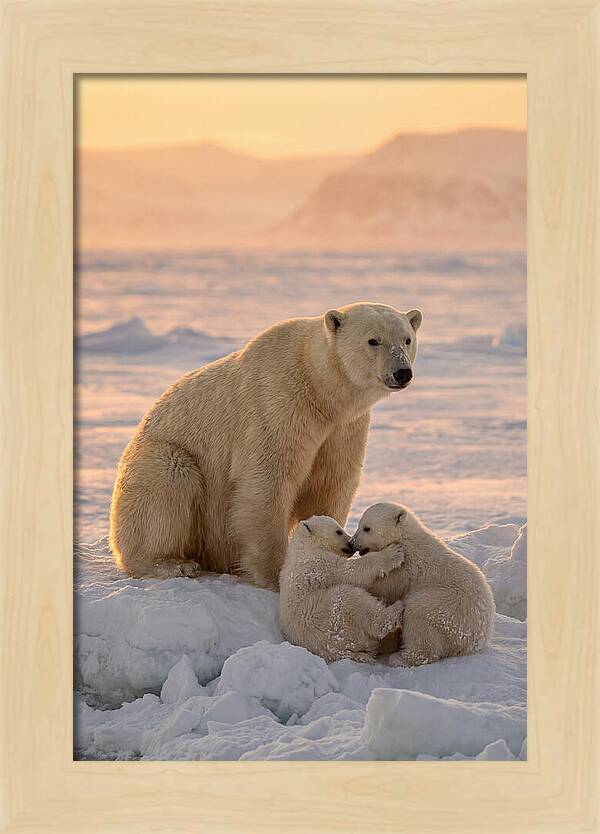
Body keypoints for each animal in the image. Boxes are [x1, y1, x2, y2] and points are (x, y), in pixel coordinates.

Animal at [109, 303, 422, 587]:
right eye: (373, 340)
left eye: (406, 339)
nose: (402, 372)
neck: (319, 388)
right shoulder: (278, 404)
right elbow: (268, 481)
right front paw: (275, 574)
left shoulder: (343, 428)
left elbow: (330, 481)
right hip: (159, 459)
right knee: (168, 480)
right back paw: (173, 564)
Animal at [279, 516, 406, 662]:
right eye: (338, 531)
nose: (351, 543)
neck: (305, 547)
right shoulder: (319, 564)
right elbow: (351, 571)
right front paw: (394, 552)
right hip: (332, 620)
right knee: (352, 600)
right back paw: (397, 608)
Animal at [350, 502, 496, 666]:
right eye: (359, 524)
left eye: (367, 528)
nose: (351, 543)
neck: (404, 537)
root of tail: (476, 640)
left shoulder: (405, 567)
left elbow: (386, 588)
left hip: (447, 608)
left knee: (418, 616)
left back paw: (400, 658)